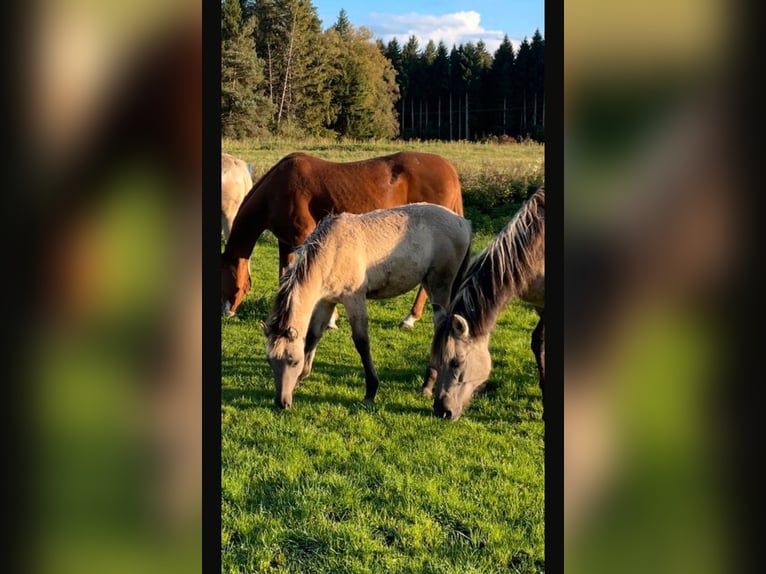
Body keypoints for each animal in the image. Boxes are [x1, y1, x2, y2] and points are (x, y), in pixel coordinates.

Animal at [222, 151, 464, 330]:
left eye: (228, 282)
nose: (227, 312)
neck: (277, 190)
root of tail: (450, 169)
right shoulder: (287, 242)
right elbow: (284, 276)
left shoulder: (306, 238)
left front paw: (330, 319)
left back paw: (410, 318)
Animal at [260, 203, 472, 409]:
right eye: (270, 361)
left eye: (293, 361)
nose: (282, 403)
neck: (333, 250)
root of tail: (463, 222)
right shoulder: (326, 301)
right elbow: (313, 336)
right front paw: (301, 378)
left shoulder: (354, 299)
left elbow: (362, 343)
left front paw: (371, 391)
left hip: (439, 287)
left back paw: (428, 384)